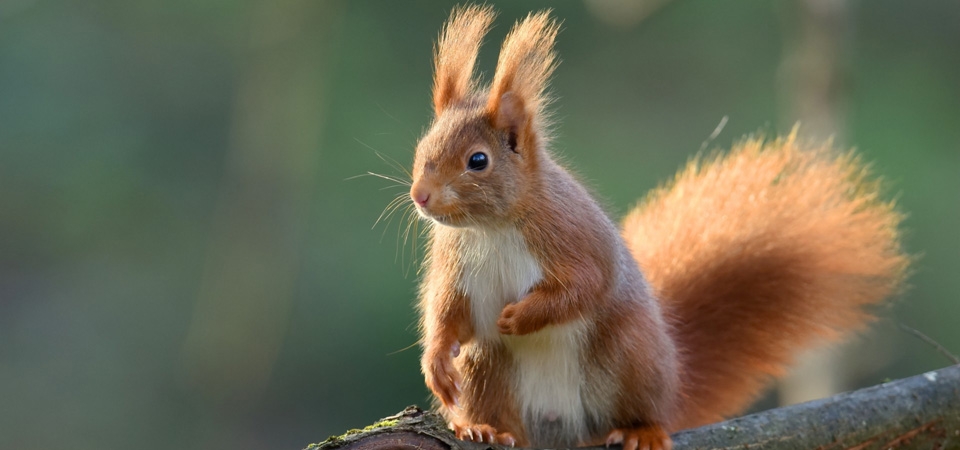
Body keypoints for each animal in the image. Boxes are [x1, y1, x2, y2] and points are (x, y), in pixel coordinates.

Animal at [404, 4, 908, 450]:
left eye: (478, 161)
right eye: (423, 146)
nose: (420, 196)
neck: (491, 228)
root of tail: (562, 430)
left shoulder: (573, 235)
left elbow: (585, 285)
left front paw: (520, 316)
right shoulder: (453, 263)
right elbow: (445, 311)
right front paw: (436, 362)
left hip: (631, 355)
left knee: (641, 406)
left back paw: (641, 431)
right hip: (487, 367)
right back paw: (482, 427)